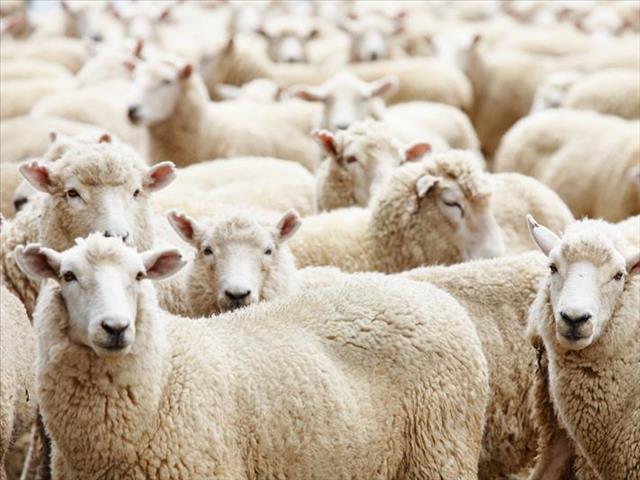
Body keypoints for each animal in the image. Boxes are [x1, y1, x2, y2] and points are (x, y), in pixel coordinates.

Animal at [18, 233, 489, 479]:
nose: (115, 328)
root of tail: (430, 294)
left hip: (440, 452)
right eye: (68, 276)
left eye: (138, 275)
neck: (164, 377)